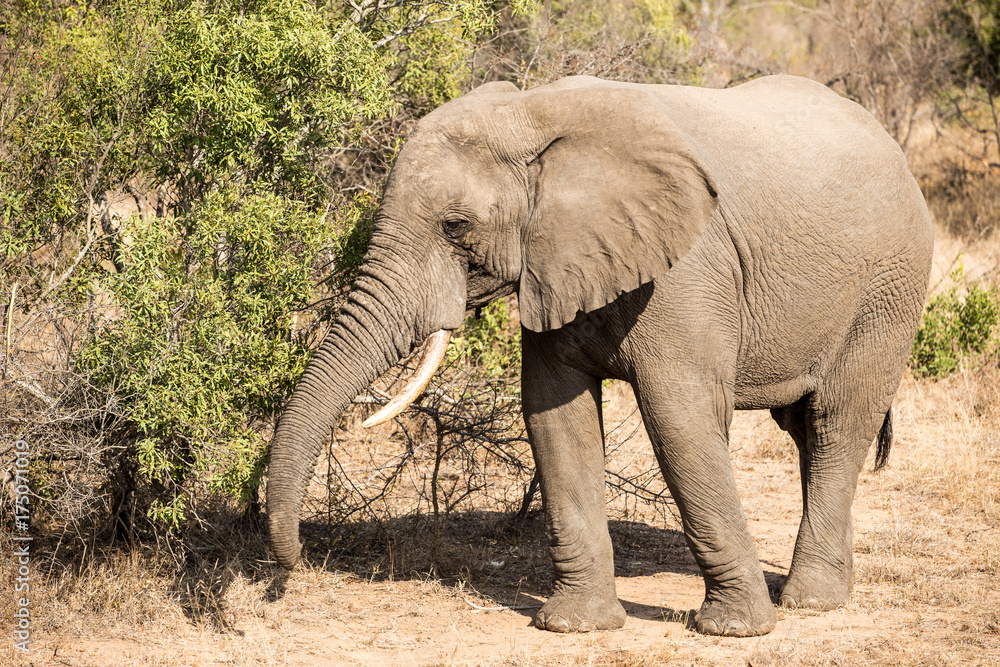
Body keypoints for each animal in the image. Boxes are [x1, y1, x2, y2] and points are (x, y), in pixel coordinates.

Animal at [266, 74, 933, 637]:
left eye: (457, 227)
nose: (293, 566)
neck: (534, 114)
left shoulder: (686, 271)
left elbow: (680, 419)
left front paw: (734, 631)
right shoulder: (553, 264)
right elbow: (555, 418)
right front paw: (573, 626)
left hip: (890, 286)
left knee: (837, 422)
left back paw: (810, 603)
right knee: (804, 430)